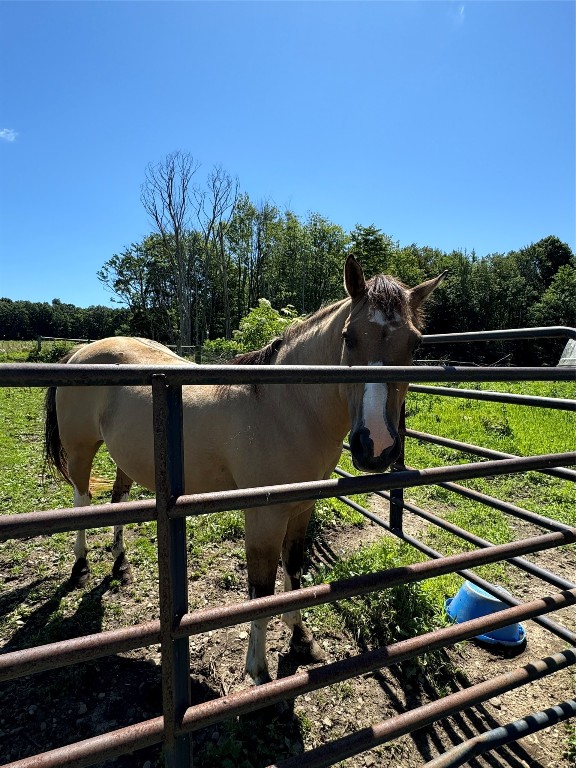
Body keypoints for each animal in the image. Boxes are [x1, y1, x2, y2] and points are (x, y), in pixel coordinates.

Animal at [45, 258, 446, 684]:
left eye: (415, 343)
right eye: (348, 338)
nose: (376, 446)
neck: (283, 406)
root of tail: (80, 353)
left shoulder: (302, 508)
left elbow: (294, 570)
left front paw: (301, 639)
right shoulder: (264, 517)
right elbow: (261, 592)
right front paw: (259, 672)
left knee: (117, 498)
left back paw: (120, 565)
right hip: (81, 450)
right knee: (82, 502)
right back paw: (81, 568)